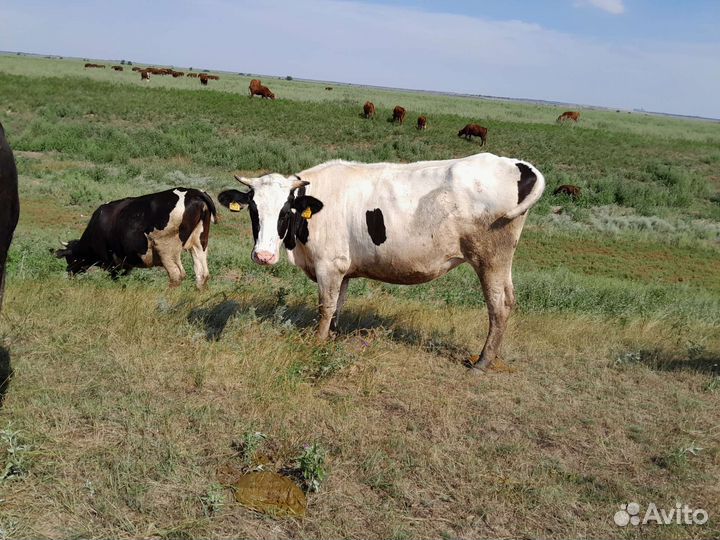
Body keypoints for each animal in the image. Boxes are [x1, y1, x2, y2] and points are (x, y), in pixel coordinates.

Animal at [54, 188, 216, 289]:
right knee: (202, 274)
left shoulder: (112, 263)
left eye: (70, 258)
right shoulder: (125, 264)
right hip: (199, 243)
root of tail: (194, 192)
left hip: (166, 248)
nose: (69, 273)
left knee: (177, 275)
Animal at [217, 152, 545, 371]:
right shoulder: (343, 270)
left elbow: (325, 307)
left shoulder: (328, 266)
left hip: (491, 259)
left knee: (499, 304)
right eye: (253, 210)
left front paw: (318, 342)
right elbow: (338, 306)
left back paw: (483, 361)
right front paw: (332, 337)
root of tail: (516, 163)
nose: (263, 255)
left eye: (285, 210)